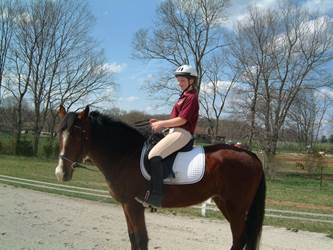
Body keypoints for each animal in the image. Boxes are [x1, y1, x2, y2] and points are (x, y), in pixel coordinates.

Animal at [54, 105, 266, 250]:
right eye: (59, 133)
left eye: (79, 134)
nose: (61, 173)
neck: (125, 155)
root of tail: (250, 154)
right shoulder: (126, 205)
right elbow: (133, 238)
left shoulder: (134, 205)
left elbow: (141, 239)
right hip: (224, 203)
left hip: (236, 207)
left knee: (239, 238)